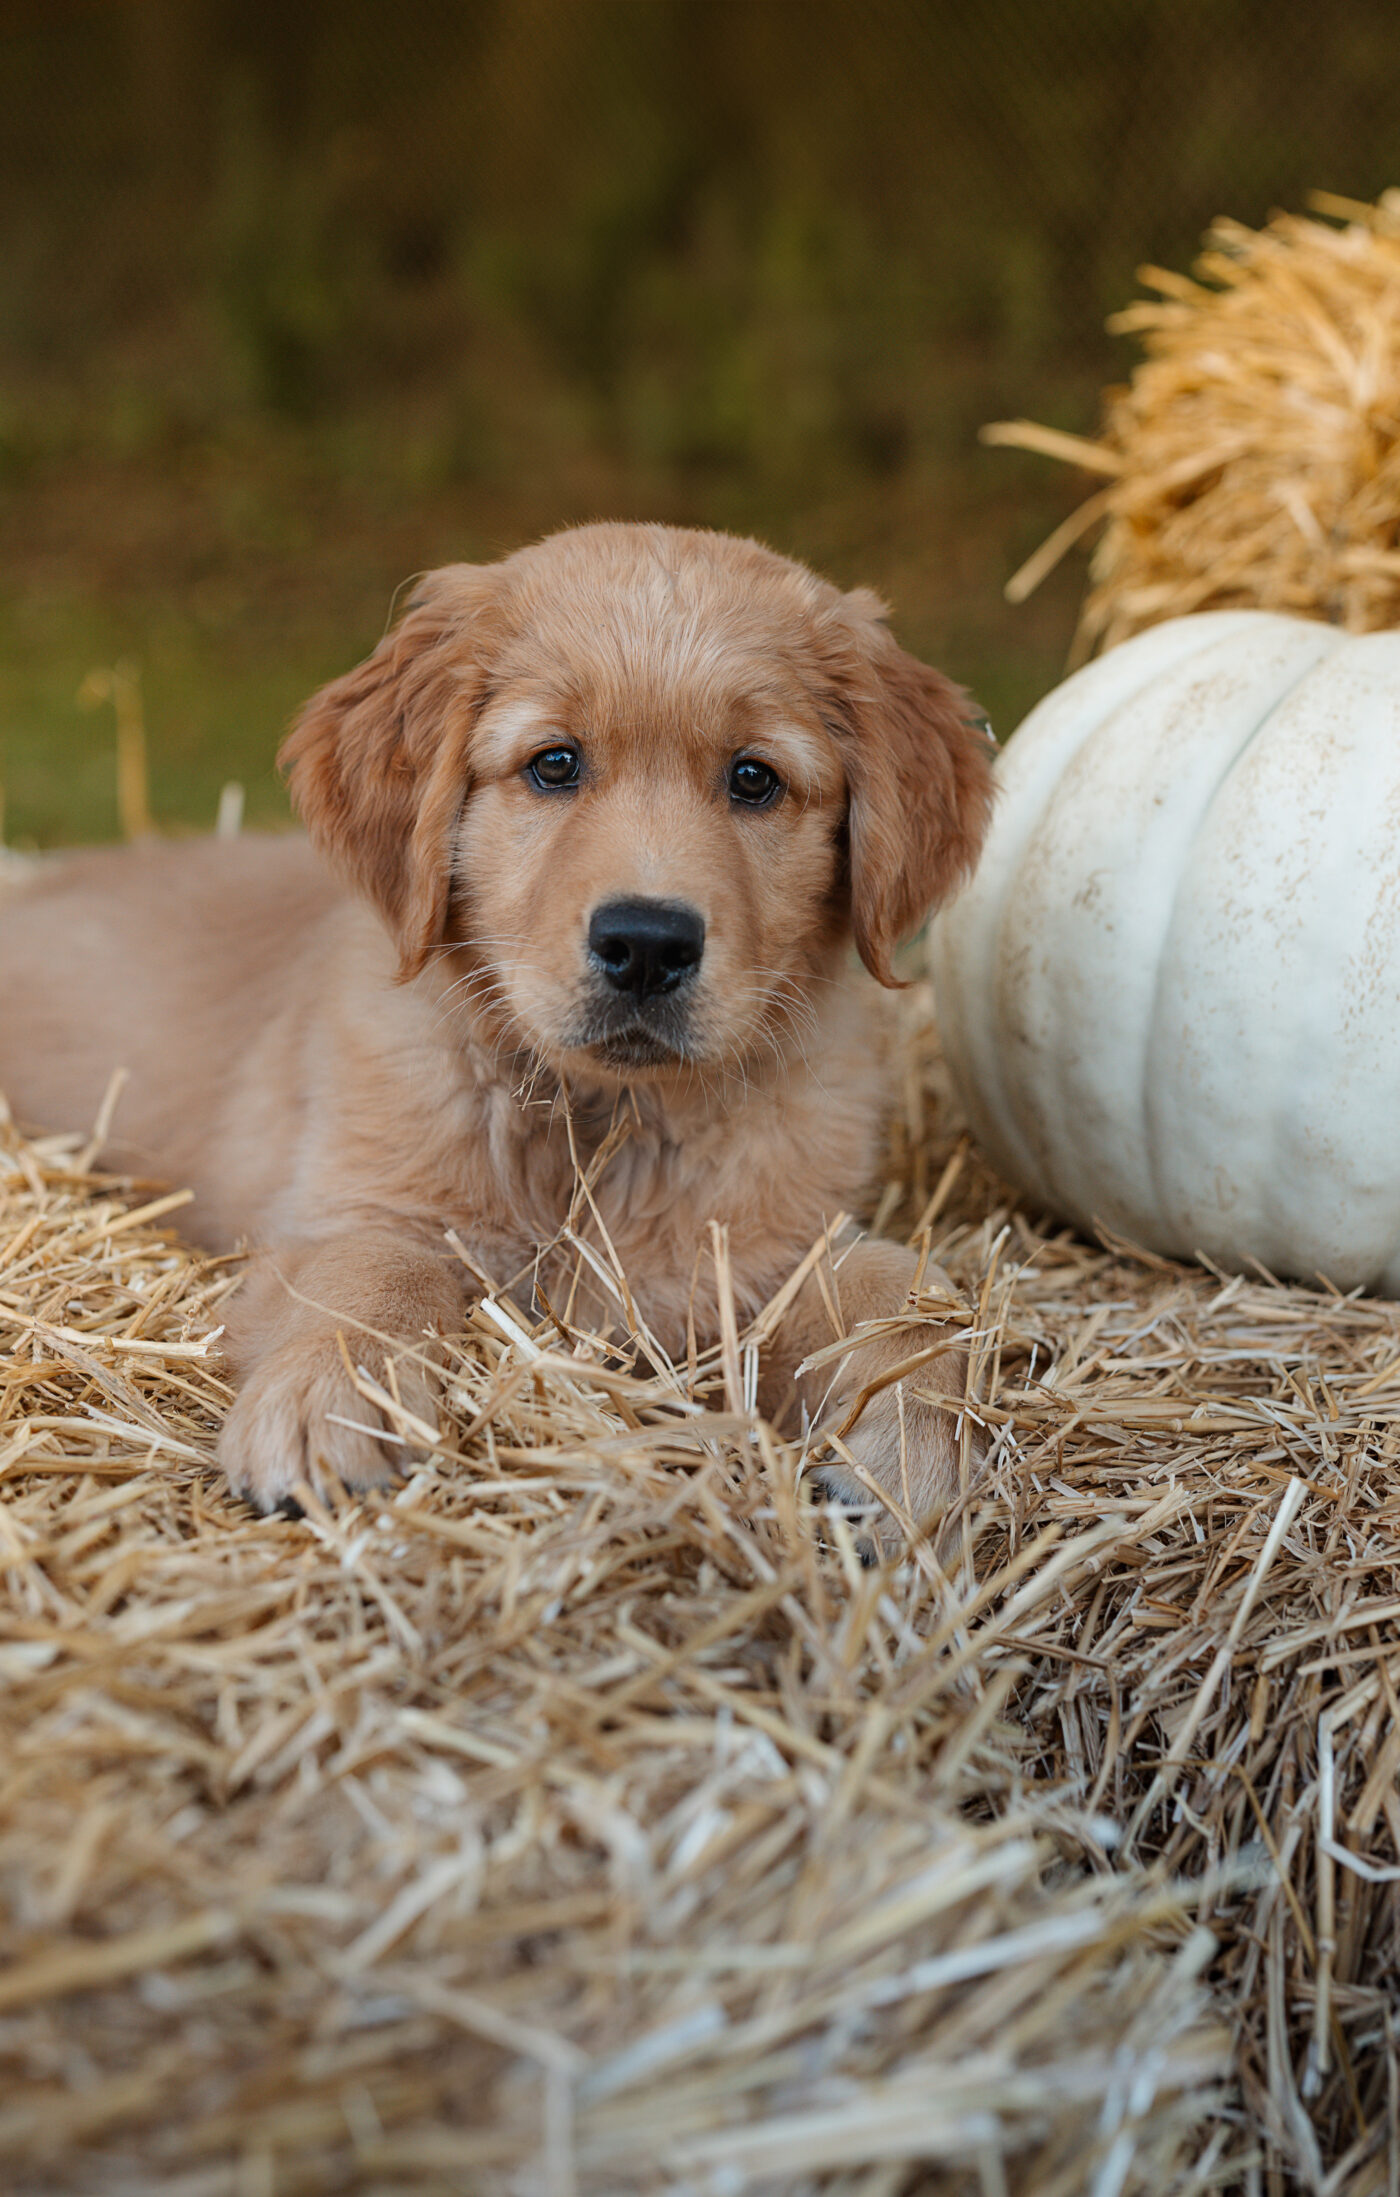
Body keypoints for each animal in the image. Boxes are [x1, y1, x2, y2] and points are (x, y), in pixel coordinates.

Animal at [0, 522, 993, 1537]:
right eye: (554, 764)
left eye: (754, 778)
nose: (646, 944)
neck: (600, 1124)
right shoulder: (337, 1211)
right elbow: (376, 1269)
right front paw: (328, 1403)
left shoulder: (759, 1255)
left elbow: (901, 1288)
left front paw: (909, 1445)